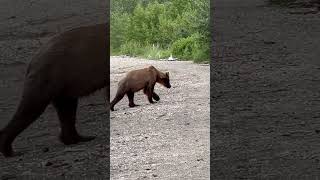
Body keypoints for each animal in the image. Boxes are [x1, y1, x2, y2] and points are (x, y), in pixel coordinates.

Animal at [0, 23, 109, 158]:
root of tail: (33, 60)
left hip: (63, 80)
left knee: (66, 108)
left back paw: (80, 138)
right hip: (50, 77)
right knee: (33, 107)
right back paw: (10, 151)